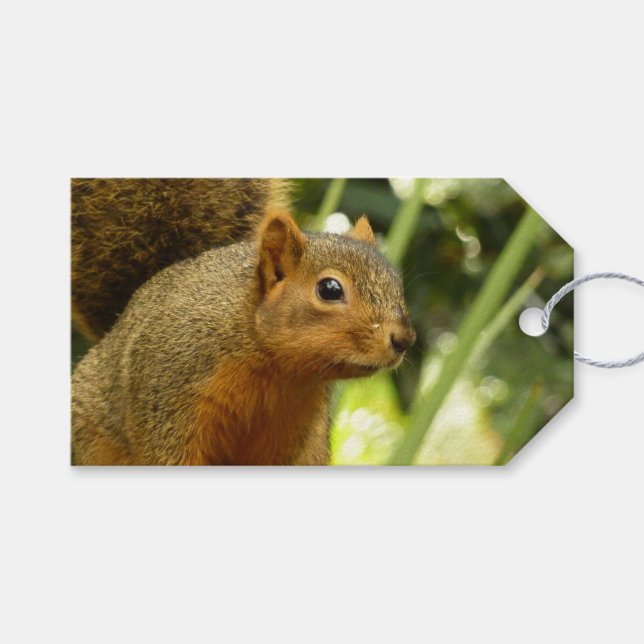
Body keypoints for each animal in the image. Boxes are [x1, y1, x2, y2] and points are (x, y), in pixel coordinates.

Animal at [71, 178, 416, 465]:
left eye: (397, 283)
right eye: (329, 289)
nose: (404, 339)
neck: (275, 370)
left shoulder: (293, 432)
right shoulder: (169, 399)